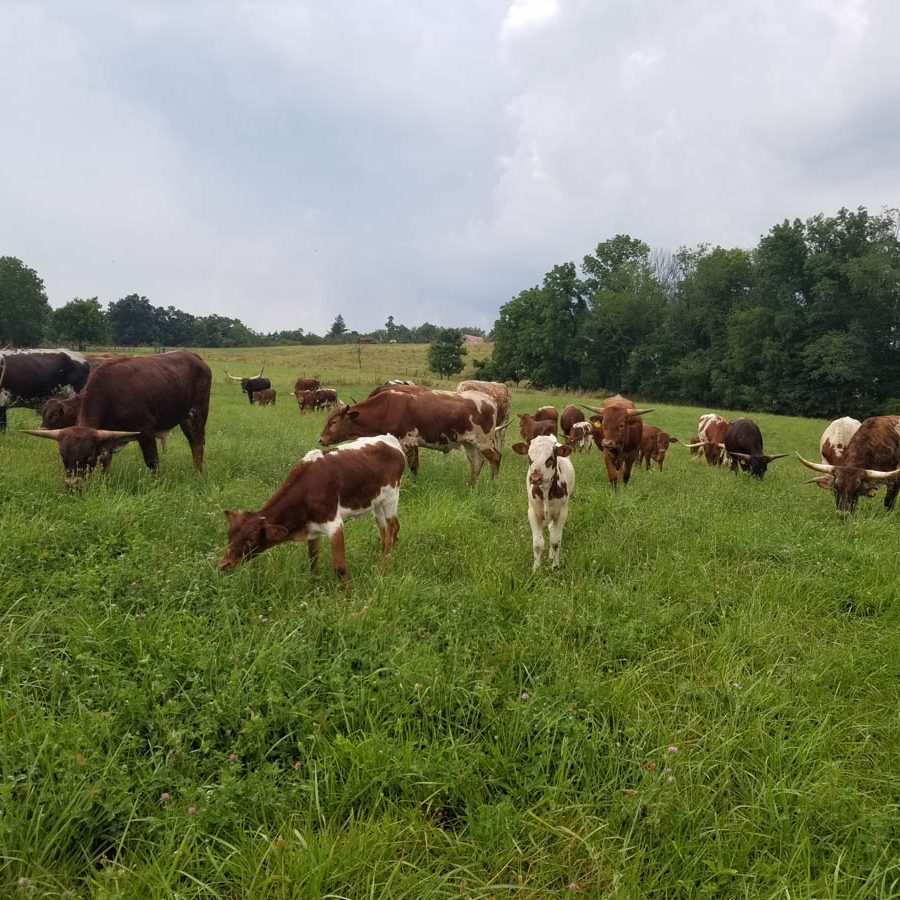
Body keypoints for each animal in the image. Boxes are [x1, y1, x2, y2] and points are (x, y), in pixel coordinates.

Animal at [23, 350, 210, 486]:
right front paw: (104, 484)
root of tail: (193, 356)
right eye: (63, 457)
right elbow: (105, 463)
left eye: (88, 457)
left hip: (195, 416)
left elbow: (152, 462)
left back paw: (198, 475)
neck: (110, 394)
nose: (72, 486)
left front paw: (157, 485)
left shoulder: (146, 432)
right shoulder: (107, 437)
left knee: (197, 444)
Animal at [218, 434, 404, 588]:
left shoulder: (334, 524)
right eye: (229, 535)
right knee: (384, 531)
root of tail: (389, 439)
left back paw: (382, 567)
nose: (224, 564)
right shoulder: (313, 529)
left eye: (251, 539)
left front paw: (346, 599)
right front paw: (314, 589)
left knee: (393, 528)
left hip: (391, 497)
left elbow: (340, 568)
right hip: (376, 503)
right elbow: (313, 561)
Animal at [318, 386, 502, 486]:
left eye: (333, 422)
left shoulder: (407, 441)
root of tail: (489, 398)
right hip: (469, 443)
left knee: (496, 457)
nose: (321, 439)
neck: (386, 408)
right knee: (477, 462)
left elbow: (413, 466)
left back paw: (494, 484)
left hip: (483, 441)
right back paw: (471, 487)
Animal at [512, 436, 576, 568]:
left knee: (552, 532)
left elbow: (555, 542)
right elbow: (537, 544)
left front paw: (555, 566)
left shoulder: (561, 513)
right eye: (529, 457)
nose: (535, 478)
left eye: (550, 459)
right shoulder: (533, 513)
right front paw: (536, 568)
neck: (546, 491)